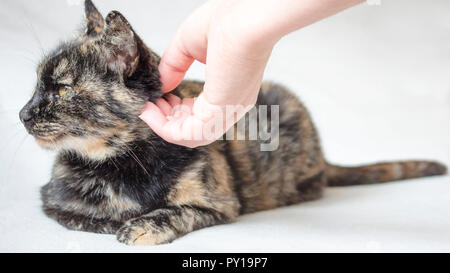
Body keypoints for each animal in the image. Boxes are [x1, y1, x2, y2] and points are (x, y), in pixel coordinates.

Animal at [18, 0, 446, 244]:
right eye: (37, 84)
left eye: (62, 90)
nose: (22, 114)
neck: (122, 162)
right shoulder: (51, 201)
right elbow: (82, 217)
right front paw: (116, 219)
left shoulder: (219, 204)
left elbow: (177, 211)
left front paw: (141, 225)